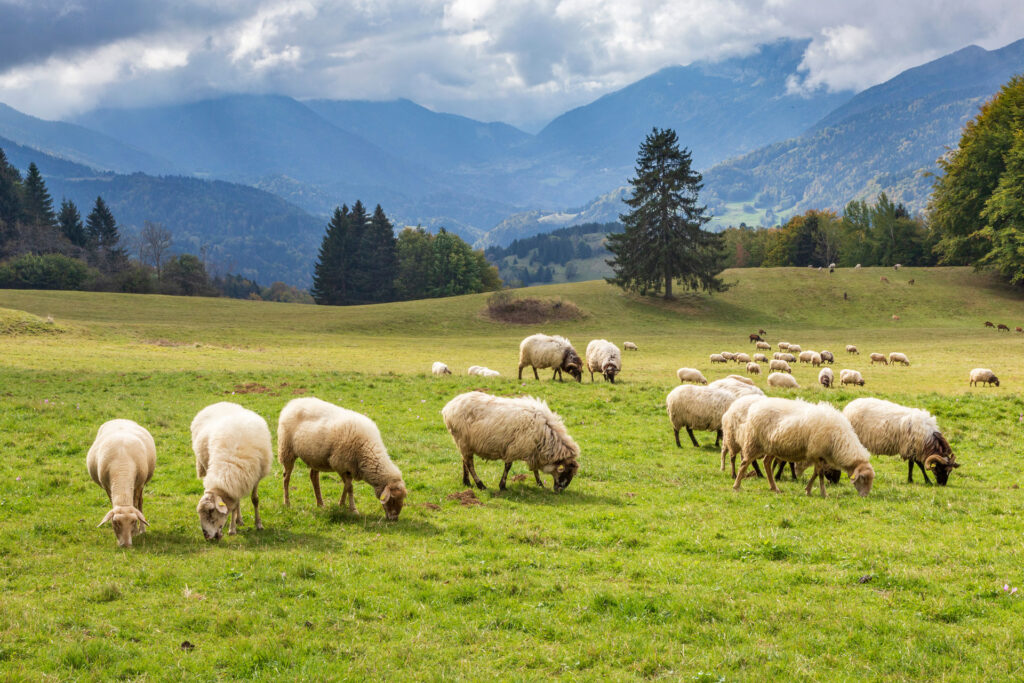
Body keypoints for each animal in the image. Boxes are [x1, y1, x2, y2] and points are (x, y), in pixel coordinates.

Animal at [87, 419, 156, 548]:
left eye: (133, 521)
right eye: (115, 523)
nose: (126, 545)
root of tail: (120, 419)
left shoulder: (138, 485)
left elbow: (136, 505)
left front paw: (137, 531)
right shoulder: (107, 487)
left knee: (140, 503)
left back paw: (142, 529)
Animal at [191, 402, 273, 541]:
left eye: (211, 511)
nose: (206, 536)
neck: (230, 463)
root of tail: (220, 403)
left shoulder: (255, 476)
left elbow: (255, 499)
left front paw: (258, 524)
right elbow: (234, 505)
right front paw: (232, 528)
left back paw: (239, 520)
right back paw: (237, 520)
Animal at [278, 397, 407, 520]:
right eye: (392, 498)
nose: (394, 519)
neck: (367, 448)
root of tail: (292, 403)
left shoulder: (349, 467)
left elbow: (346, 486)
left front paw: (342, 504)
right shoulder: (340, 464)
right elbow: (349, 487)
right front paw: (353, 509)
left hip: (315, 456)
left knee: (313, 477)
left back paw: (320, 503)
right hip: (286, 449)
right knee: (286, 477)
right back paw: (287, 503)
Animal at [441, 391, 579, 491]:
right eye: (566, 471)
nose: (560, 490)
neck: (547, 432)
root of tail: (448, 407)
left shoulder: (532, 450)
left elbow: (535, 469)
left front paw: (540, 483)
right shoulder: (515, 448)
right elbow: (508, 466)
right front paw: (502, 486)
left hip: (464, 443)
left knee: (464, 461)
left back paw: (467, 482)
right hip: (463, 439)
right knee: (470, 464)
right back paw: (480, 484)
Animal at [733, 398, 875, 497]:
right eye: (863, 478)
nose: (865, 496)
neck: (839, 440)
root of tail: (755, 407)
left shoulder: (819, 455)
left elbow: (816, 473)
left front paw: (808, 490)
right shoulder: (816, 452)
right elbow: (820, 474)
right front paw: (823, 493)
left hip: (771, 447)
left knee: (766, 463)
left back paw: (775, 488)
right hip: (754, 442)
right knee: (745, 463)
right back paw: (736, 486)